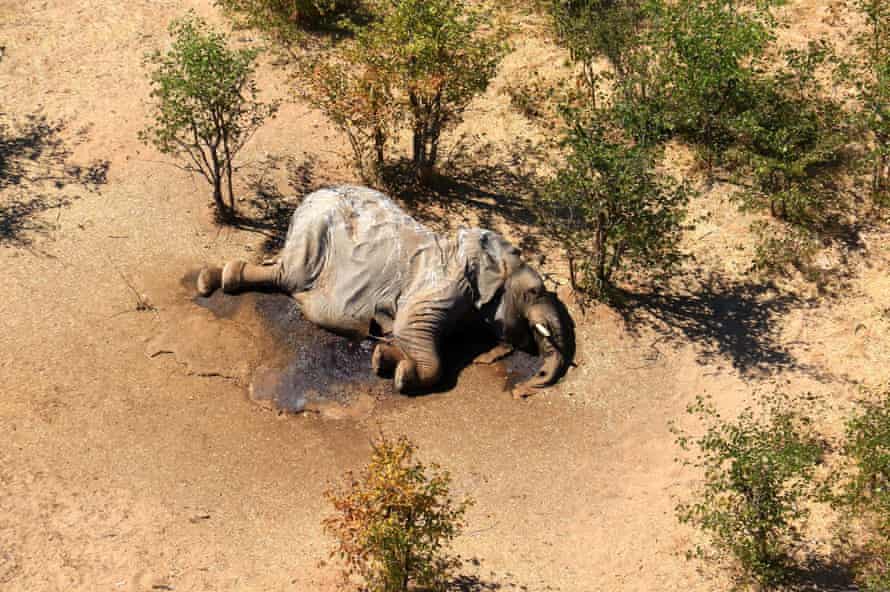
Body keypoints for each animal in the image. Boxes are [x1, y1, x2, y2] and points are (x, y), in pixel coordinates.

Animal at [197, 185, 572, 398]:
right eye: (535, 291)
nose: (524, 390)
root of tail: (311, 195)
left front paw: (383, 358)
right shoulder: (443, 285)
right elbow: (411, 331)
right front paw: (402, 374)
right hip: (314, 230)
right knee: (288, 276)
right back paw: (212, 280)